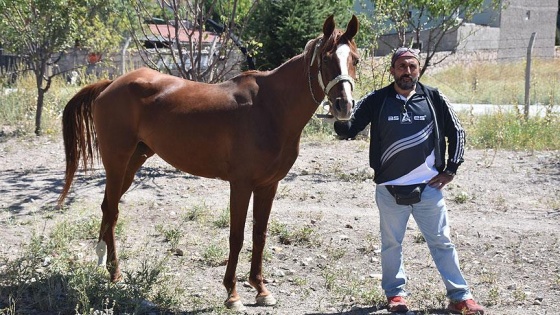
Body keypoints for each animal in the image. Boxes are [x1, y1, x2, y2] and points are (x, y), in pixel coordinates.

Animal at [59, 15, 360, 312]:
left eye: (355, 60)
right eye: (325, 59)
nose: (345, 105)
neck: (270, 108)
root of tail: (110, 84)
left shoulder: (268, 185)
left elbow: (260, 235)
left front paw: (261, 289)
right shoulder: (241, 185)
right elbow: (237, 236)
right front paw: (232, 294)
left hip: (134, 161)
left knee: (108, 208)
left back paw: (104, 265)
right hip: (117, 160)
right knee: (111, 211)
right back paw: (114, 273)